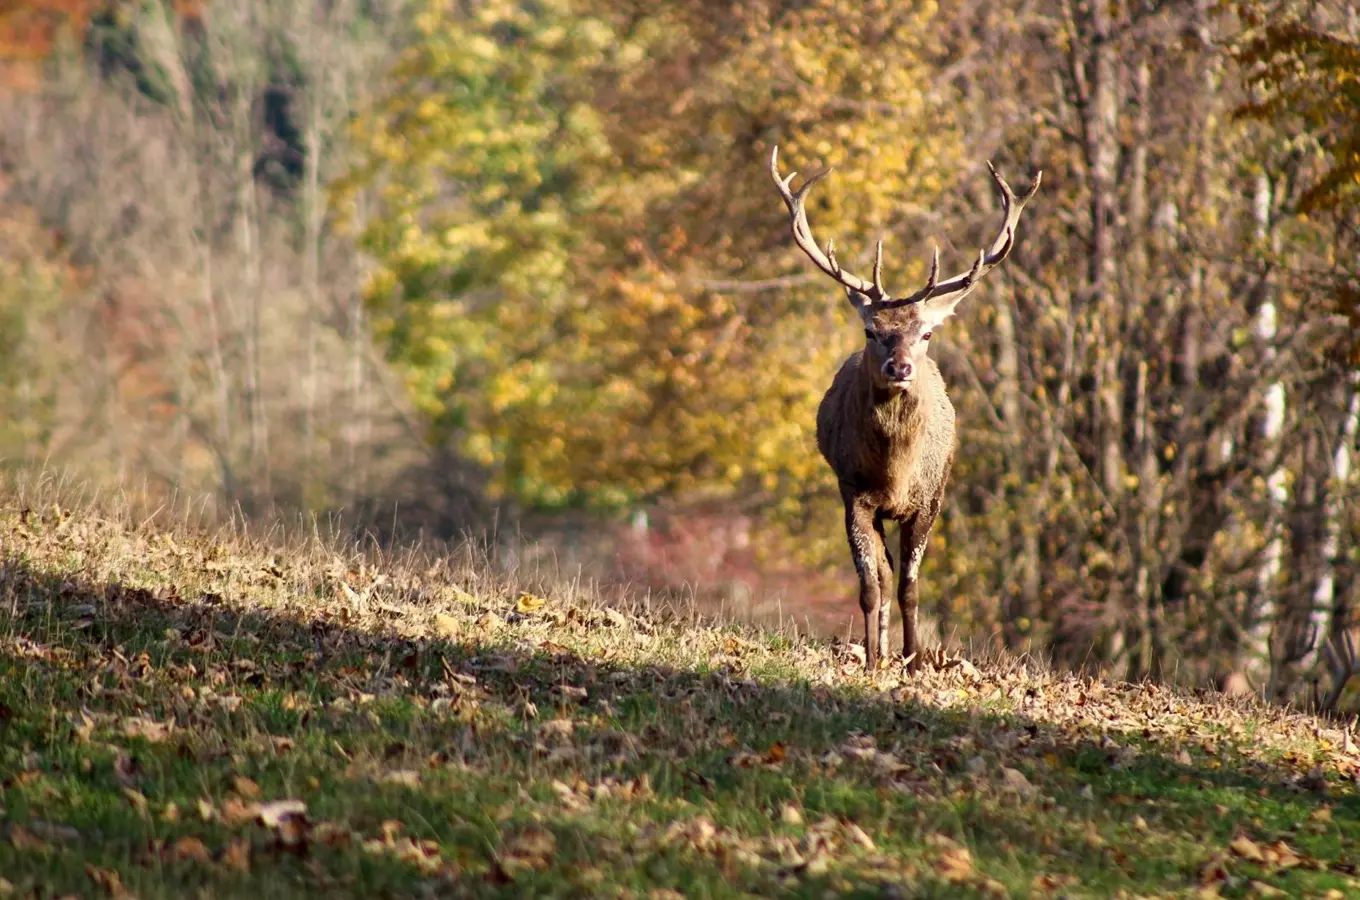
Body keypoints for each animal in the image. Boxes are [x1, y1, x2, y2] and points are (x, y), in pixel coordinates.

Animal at [767, 146, 1039, 668]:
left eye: (927, 333)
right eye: (871, 330)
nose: (900, 367)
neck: (895, 473)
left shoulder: (931, 496)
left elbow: (911, 587)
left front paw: (914, 662)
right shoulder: (853, 490)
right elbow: (871, 586)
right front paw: (876, 661)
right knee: (882, 572)